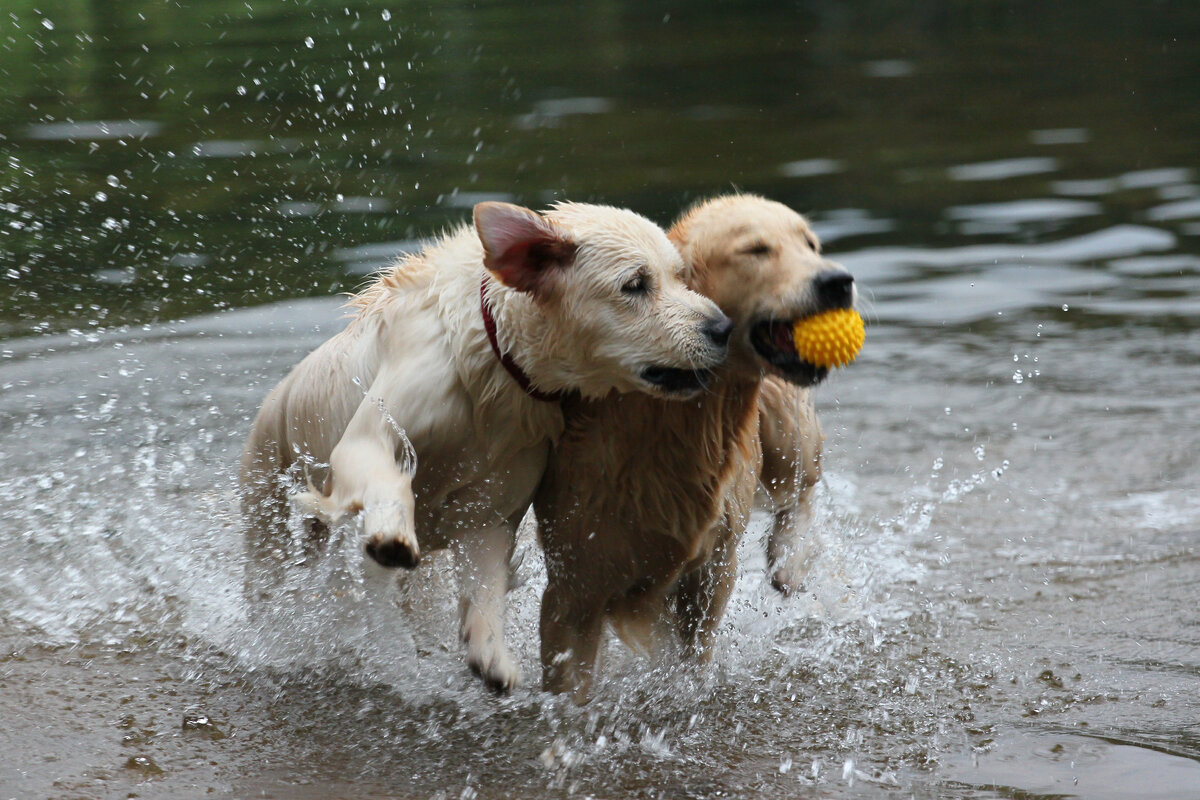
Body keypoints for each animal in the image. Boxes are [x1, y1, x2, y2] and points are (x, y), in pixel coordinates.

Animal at [238, 203, 724, 690]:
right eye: (634, 284)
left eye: (680, 276)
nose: (723, 327)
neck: (497, 361)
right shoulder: (369, 436)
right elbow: (388, 483)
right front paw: (392, 537)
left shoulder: (493, 509)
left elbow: (485, 583)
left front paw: (490, 654)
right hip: (264, 502)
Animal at [535, 194, 854, 700]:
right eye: (756, 250)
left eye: (810, 244)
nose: (838, 281)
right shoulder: (575, 579)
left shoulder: (713, 566)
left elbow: (695, 651)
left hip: (786, 427)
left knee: (800, 491)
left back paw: (791, 559)